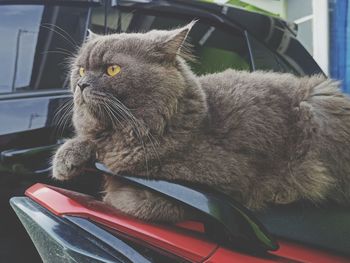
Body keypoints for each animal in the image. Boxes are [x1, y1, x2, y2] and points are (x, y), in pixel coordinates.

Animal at [52, 23, 350, 223]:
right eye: (80, 69)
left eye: (112, 69)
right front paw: (66, 160)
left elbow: (150, 201)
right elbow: (85, 142)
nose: (81, 84)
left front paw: (115, 197)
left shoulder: (226, 179)